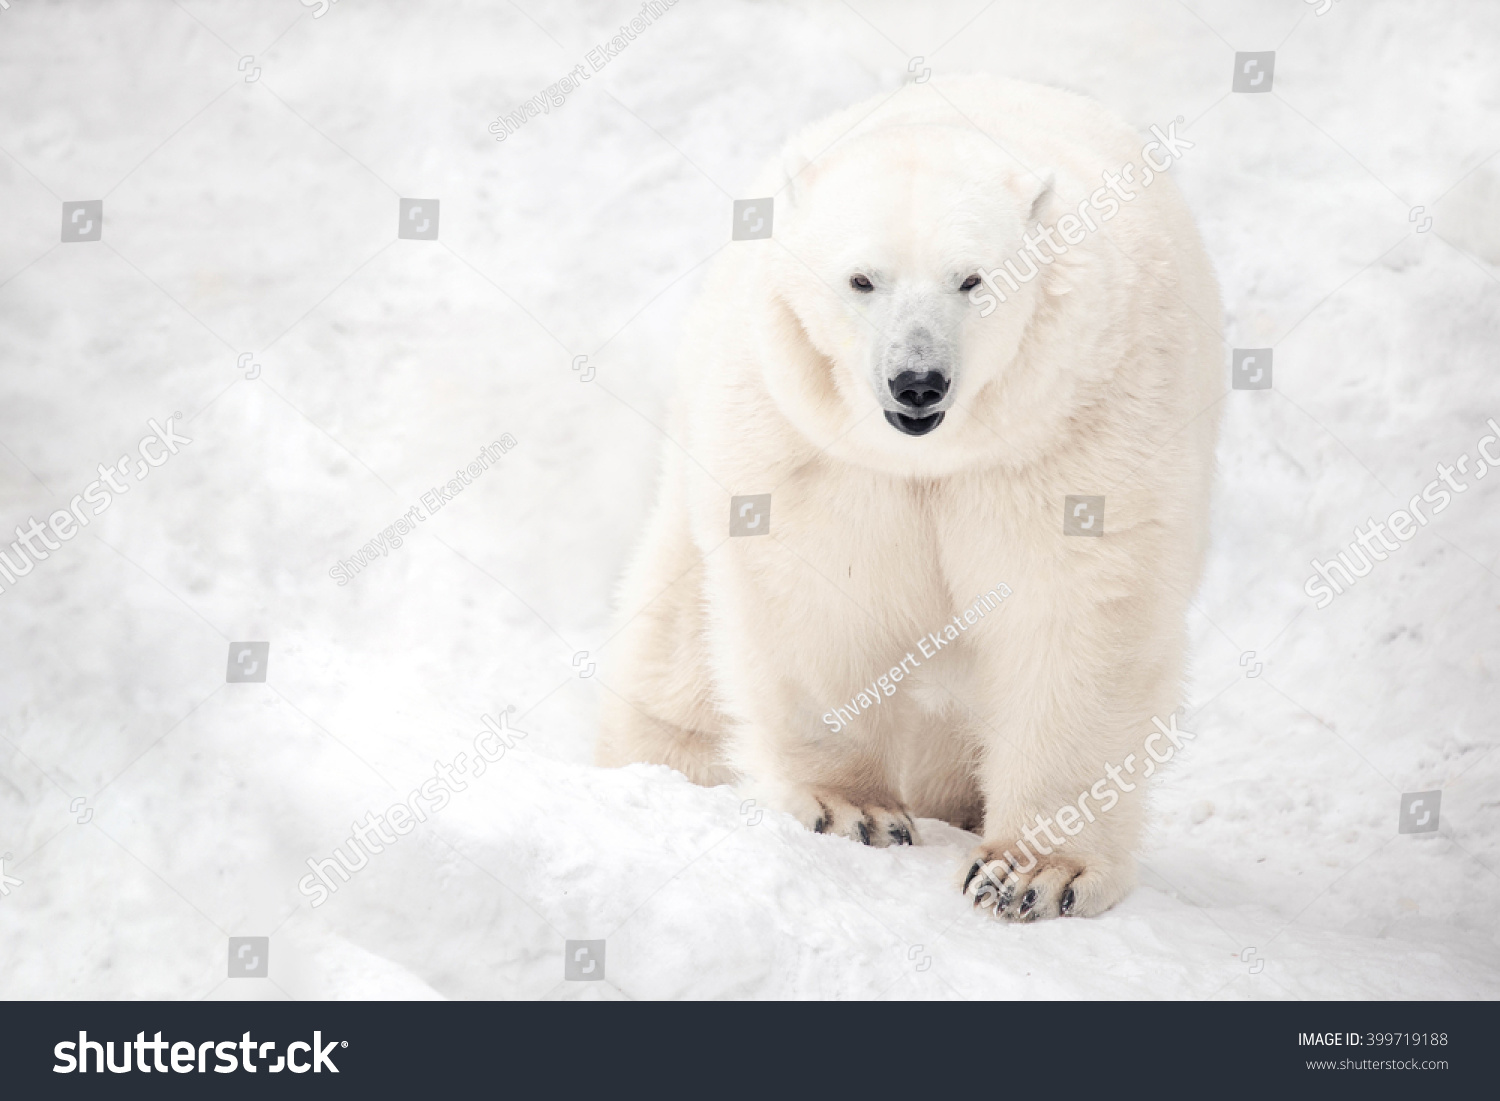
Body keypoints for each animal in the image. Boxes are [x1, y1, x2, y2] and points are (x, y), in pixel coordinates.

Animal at [591, 73, 1224, 930]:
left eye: (972, 279)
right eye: (862, 279)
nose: (917, 380)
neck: (938, 453)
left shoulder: (1077, 431)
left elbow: (1076, 615)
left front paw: (1031, 872)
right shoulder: (818, 449)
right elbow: (821, 596)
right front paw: (852, 810)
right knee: (677, 643)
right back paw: (661, 767)